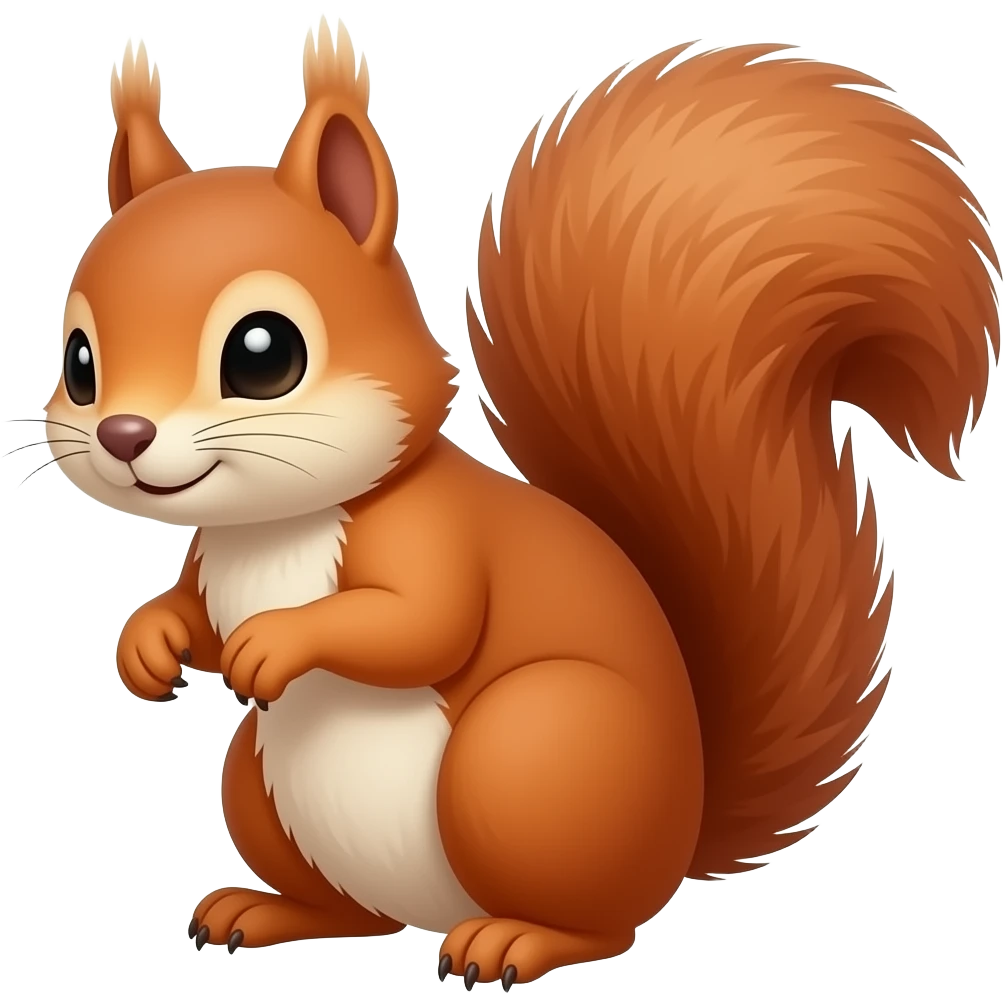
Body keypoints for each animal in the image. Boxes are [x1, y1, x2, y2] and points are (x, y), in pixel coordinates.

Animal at [48, 20, 998, 989]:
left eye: (264, 352)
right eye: (79, 361)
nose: (123, 434)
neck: (278, 527)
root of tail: (681, 834)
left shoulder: (433, 535)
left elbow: (421, 623)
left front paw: (276, 640)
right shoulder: (211, 558)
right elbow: (194, 614)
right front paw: (148, 643)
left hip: (527, 751)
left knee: (600, 924)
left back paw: (516, 942)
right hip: (260, 783)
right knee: (354, 912)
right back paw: (267, 910)